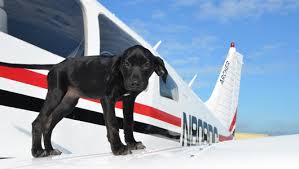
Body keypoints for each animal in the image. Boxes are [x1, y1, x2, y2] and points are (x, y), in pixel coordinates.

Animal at [0, 45, 169, 157]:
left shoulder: (129, 100)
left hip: (68, 103)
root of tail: (56, 66)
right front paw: (118, 148)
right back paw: (37, 151)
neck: (120, 75)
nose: (135, 83)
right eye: (126, 64)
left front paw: (132, 143)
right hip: (56, 94)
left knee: (48, 125)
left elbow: (128, 123)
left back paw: (50, 150)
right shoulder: (107, 99)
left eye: (146, 64)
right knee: (38, 122)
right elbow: (113, 124)